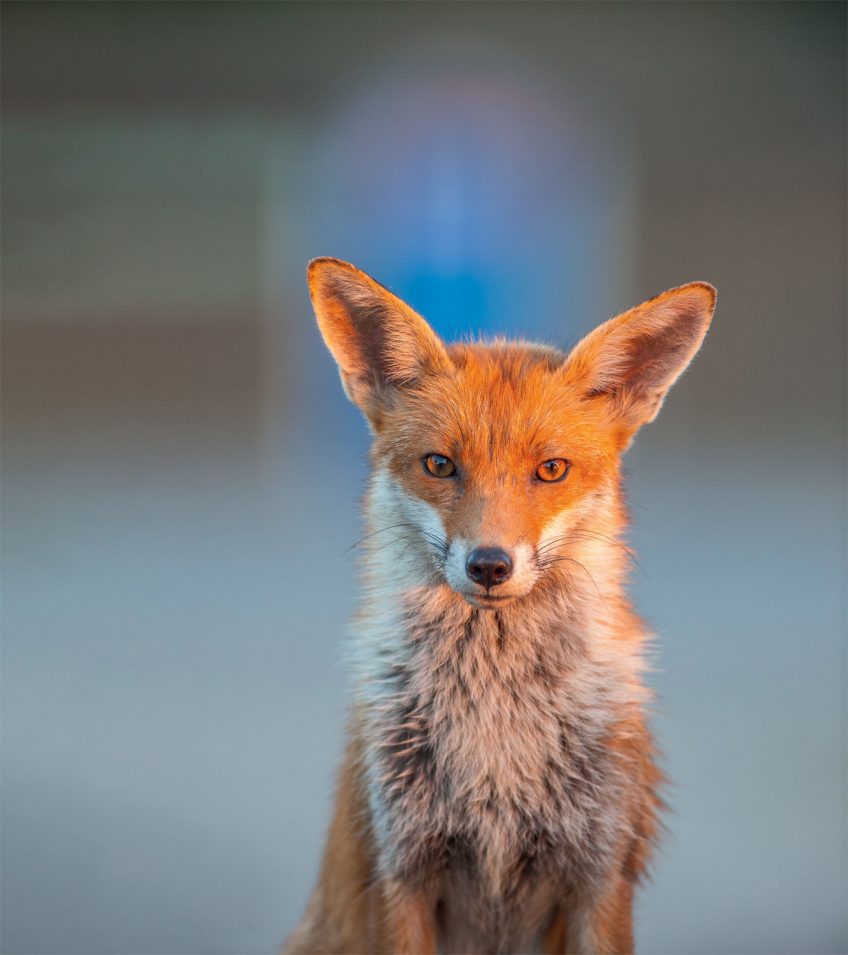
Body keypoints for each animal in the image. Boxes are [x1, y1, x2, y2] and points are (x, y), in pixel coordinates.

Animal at [284, 257, 716, 955]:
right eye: (439, 465)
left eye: (552, 469)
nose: (489, 565)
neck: (496, 726)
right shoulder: (401, 871)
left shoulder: (601, 874)